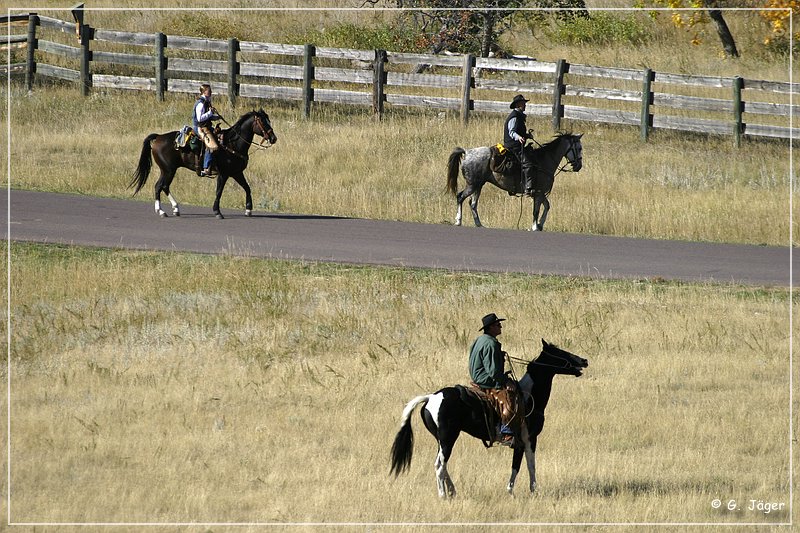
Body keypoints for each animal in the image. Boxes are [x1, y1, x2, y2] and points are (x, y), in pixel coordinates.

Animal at [130, 109, 278, 217]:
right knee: (159, 186)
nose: (273, 138)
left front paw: (248, 210)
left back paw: (175, 209)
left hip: (168, 170)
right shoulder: (223, 174)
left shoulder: (236, 172)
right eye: (263, 122)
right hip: (168, 170)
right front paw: (217, 212)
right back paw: (161, 211)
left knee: (164, 186)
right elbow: (219, 192)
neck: (232, 144)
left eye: (268, 120)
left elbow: (247, 188)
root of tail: (158, 137)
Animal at [392, 338, 588, 496]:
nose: (584, 360)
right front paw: (521, 491)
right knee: (440, 466)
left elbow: (525, 464)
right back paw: (443, 495)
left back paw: (452, 491)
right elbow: (524, 465)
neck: (529, 396)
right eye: (560, 352)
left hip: (441, 440)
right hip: (448, 437)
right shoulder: (527, 439)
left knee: (441, 464)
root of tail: (431, 397)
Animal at [444, 132, 580, 231]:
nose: (579, 166)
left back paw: (479, 224)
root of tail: (467, 152)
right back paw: (458, 221)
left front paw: (540, 225)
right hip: (473, 185)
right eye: (578, 148)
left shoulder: (540, 193)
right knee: (460, 197)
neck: (544, 161)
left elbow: (547, 206)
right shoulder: (538, 192)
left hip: (479, 185)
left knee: (472, 203)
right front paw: (535, 227)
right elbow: (536, 210)